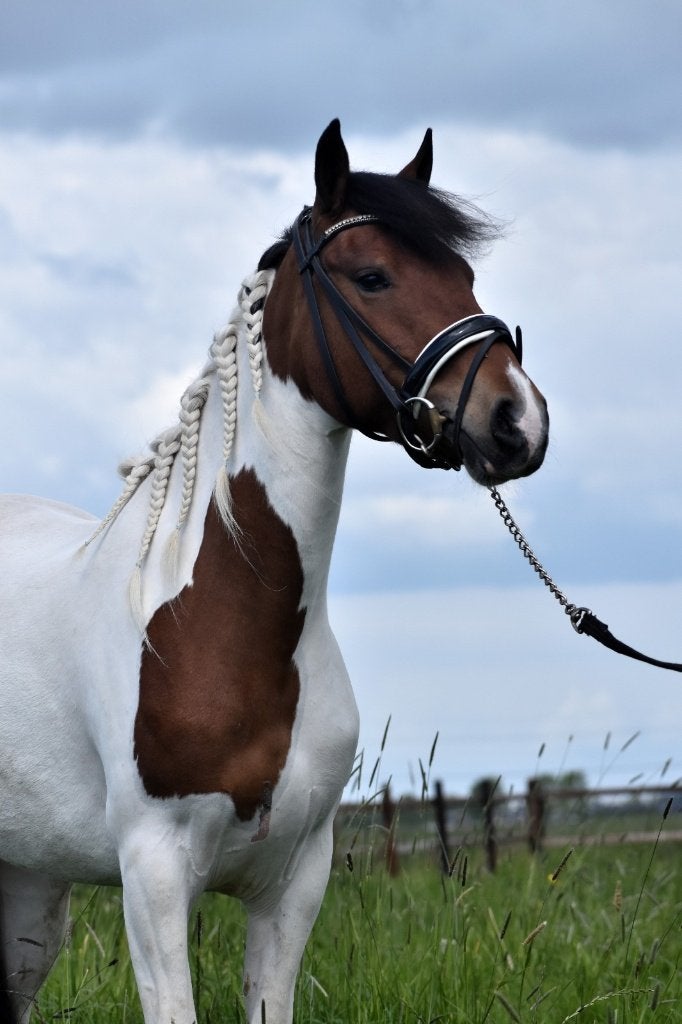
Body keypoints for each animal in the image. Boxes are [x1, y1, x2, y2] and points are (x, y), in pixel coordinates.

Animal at [0, 119, 549, 1024]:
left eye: (465, 276)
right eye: (372, 276)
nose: (517, 421)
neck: (222, 624)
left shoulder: (292, 884)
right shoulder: (153, 880)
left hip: (31, 878)